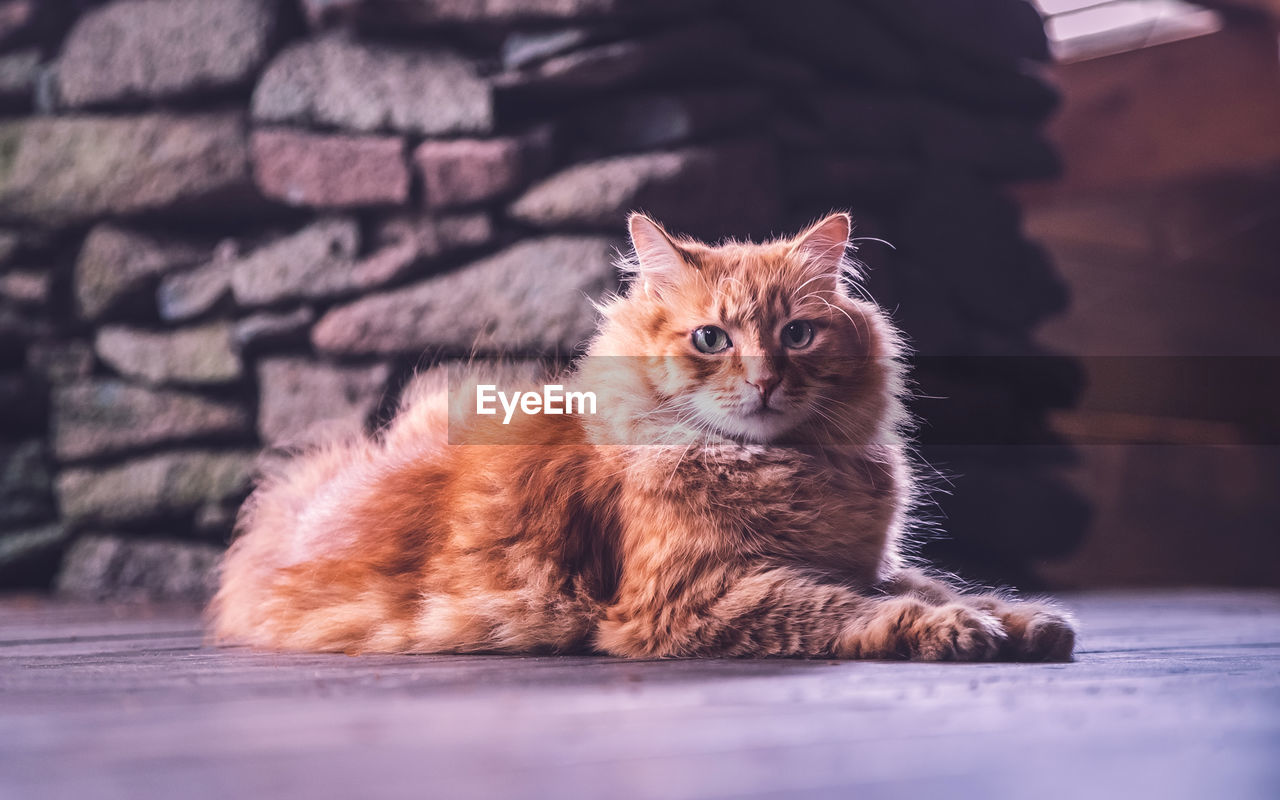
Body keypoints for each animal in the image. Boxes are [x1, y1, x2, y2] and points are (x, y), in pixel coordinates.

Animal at [215, 212, 1075, 660]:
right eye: (711, 340)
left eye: (796, 335)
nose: (765, 381)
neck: (787, 468)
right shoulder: (695, 600)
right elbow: (850, 611)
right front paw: (957, 630)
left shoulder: (865, 560)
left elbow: (932, 582)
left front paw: (1023, 620)